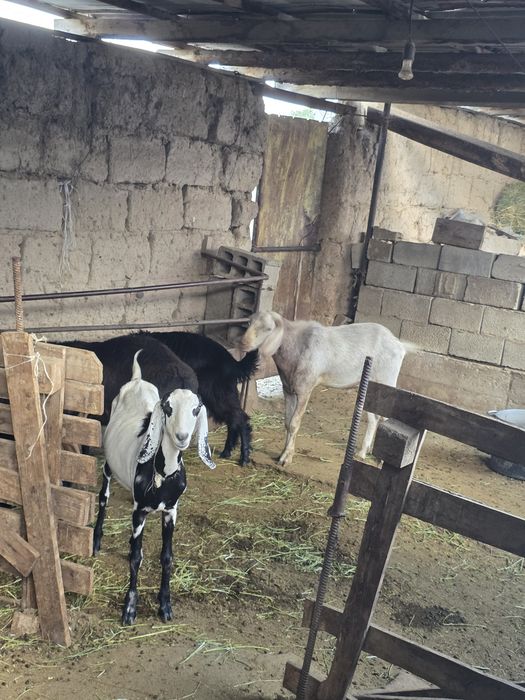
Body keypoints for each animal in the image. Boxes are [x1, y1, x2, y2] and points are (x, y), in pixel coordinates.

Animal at [95, 350, 215, 626]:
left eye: (196, 409)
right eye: (168, 408)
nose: (182, 437)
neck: (163, 473)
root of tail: (137, 379)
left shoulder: (171, 510)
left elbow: (166, 557)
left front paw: (165, 606)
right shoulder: (139, 511)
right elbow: (136, 557)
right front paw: (129, 610)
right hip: (108, 463)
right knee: (103, 496)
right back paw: (96, 540)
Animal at [146, 331, 258, 466]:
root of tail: (231, 361)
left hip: (217, 395)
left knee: (239, 418)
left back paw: (244, 457)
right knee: (233, 419)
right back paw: (227, 452)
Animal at [239, 311, 412, 466]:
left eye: (268, 328)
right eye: (249, 323)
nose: (243, 343)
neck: (296, 345)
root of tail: (400, 344)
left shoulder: (305, 388)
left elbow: (294, 423)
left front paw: (286, 458)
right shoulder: (288, 389)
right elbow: (287, 422)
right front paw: (283, 453)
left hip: (387, 380)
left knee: (385, 418)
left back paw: (381, 459)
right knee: (374, 418)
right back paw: (363, 452)